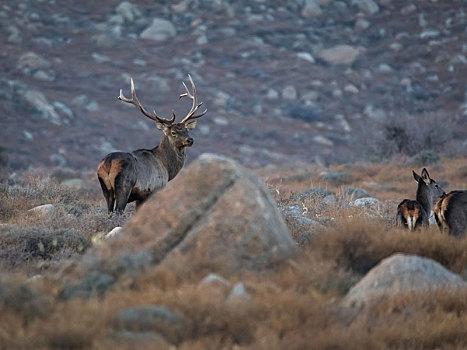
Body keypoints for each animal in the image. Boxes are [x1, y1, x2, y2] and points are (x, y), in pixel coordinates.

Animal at [97, 74, 207, 213]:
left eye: (187, 130)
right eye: (173, 132)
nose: (190, 140)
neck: (167, 168)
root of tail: (108, 162)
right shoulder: (155, 189)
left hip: (105, 188)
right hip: (123, 186)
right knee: (118, 211)